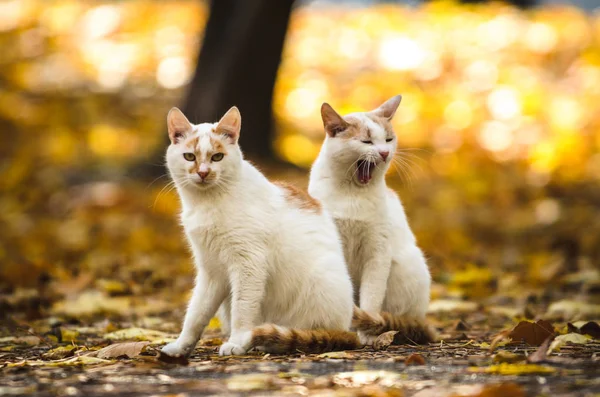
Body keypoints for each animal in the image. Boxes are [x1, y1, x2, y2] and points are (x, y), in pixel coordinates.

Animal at [310, 95, 432, 344]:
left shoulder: (377, 253)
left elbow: (371, 298)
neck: (353, 193)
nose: (385, 153)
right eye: (366, 141)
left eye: (388, 139)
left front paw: (367, 332)